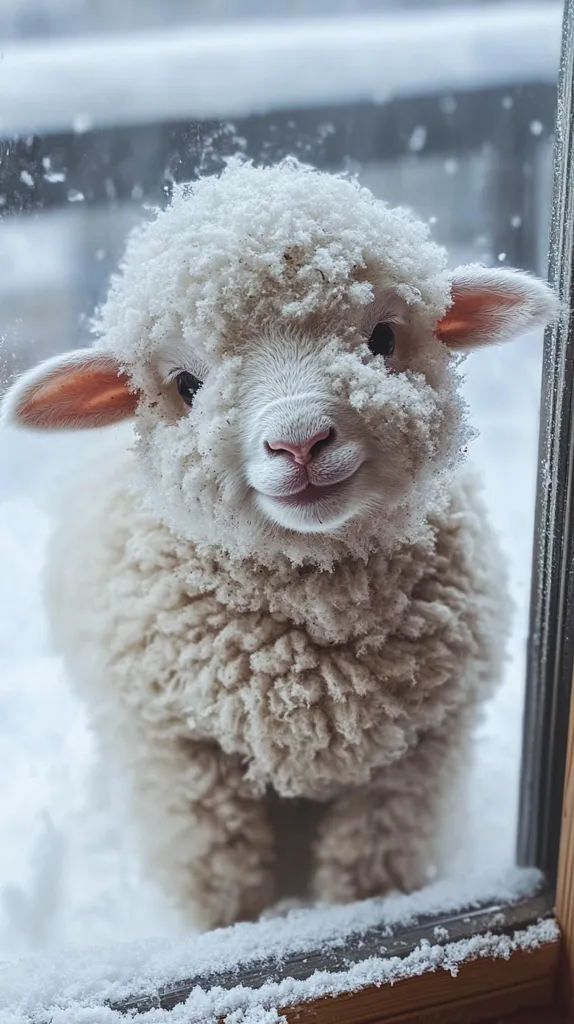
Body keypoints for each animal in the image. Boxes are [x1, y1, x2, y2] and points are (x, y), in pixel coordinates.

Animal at [1, 158, 559, 931]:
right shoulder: (182, 760)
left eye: (382, 340)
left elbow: (367, 873)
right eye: (186, 385)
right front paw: (229, 933)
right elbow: (223, 881)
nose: (300, 440)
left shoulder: (414, 759)